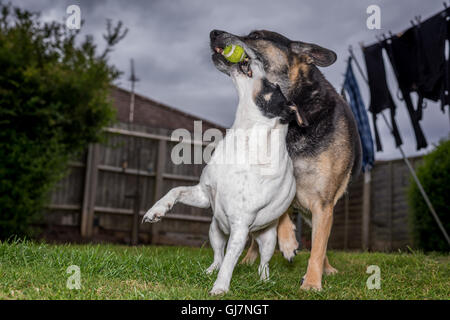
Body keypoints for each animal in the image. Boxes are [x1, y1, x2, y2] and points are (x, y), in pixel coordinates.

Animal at [143, 58, 306, 296]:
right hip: (215, 230)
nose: (252, 58)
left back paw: (263, 280)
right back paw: (210, 270)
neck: (244, 141)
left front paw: (221, 286)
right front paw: (156, 210)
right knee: (218, 256)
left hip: (267, 238)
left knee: (263, 262)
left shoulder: (240, 225)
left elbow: (231, 260)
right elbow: (175, 190)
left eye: (272, 86)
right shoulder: (203, 194)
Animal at [210, 29, 362, 290]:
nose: (214, 33)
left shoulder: (323, 203)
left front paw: (312, 282)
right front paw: (289, 243)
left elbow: (318, 246)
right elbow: (280, 218)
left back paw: (326, 268)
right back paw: (250, 258)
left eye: (256, 36)